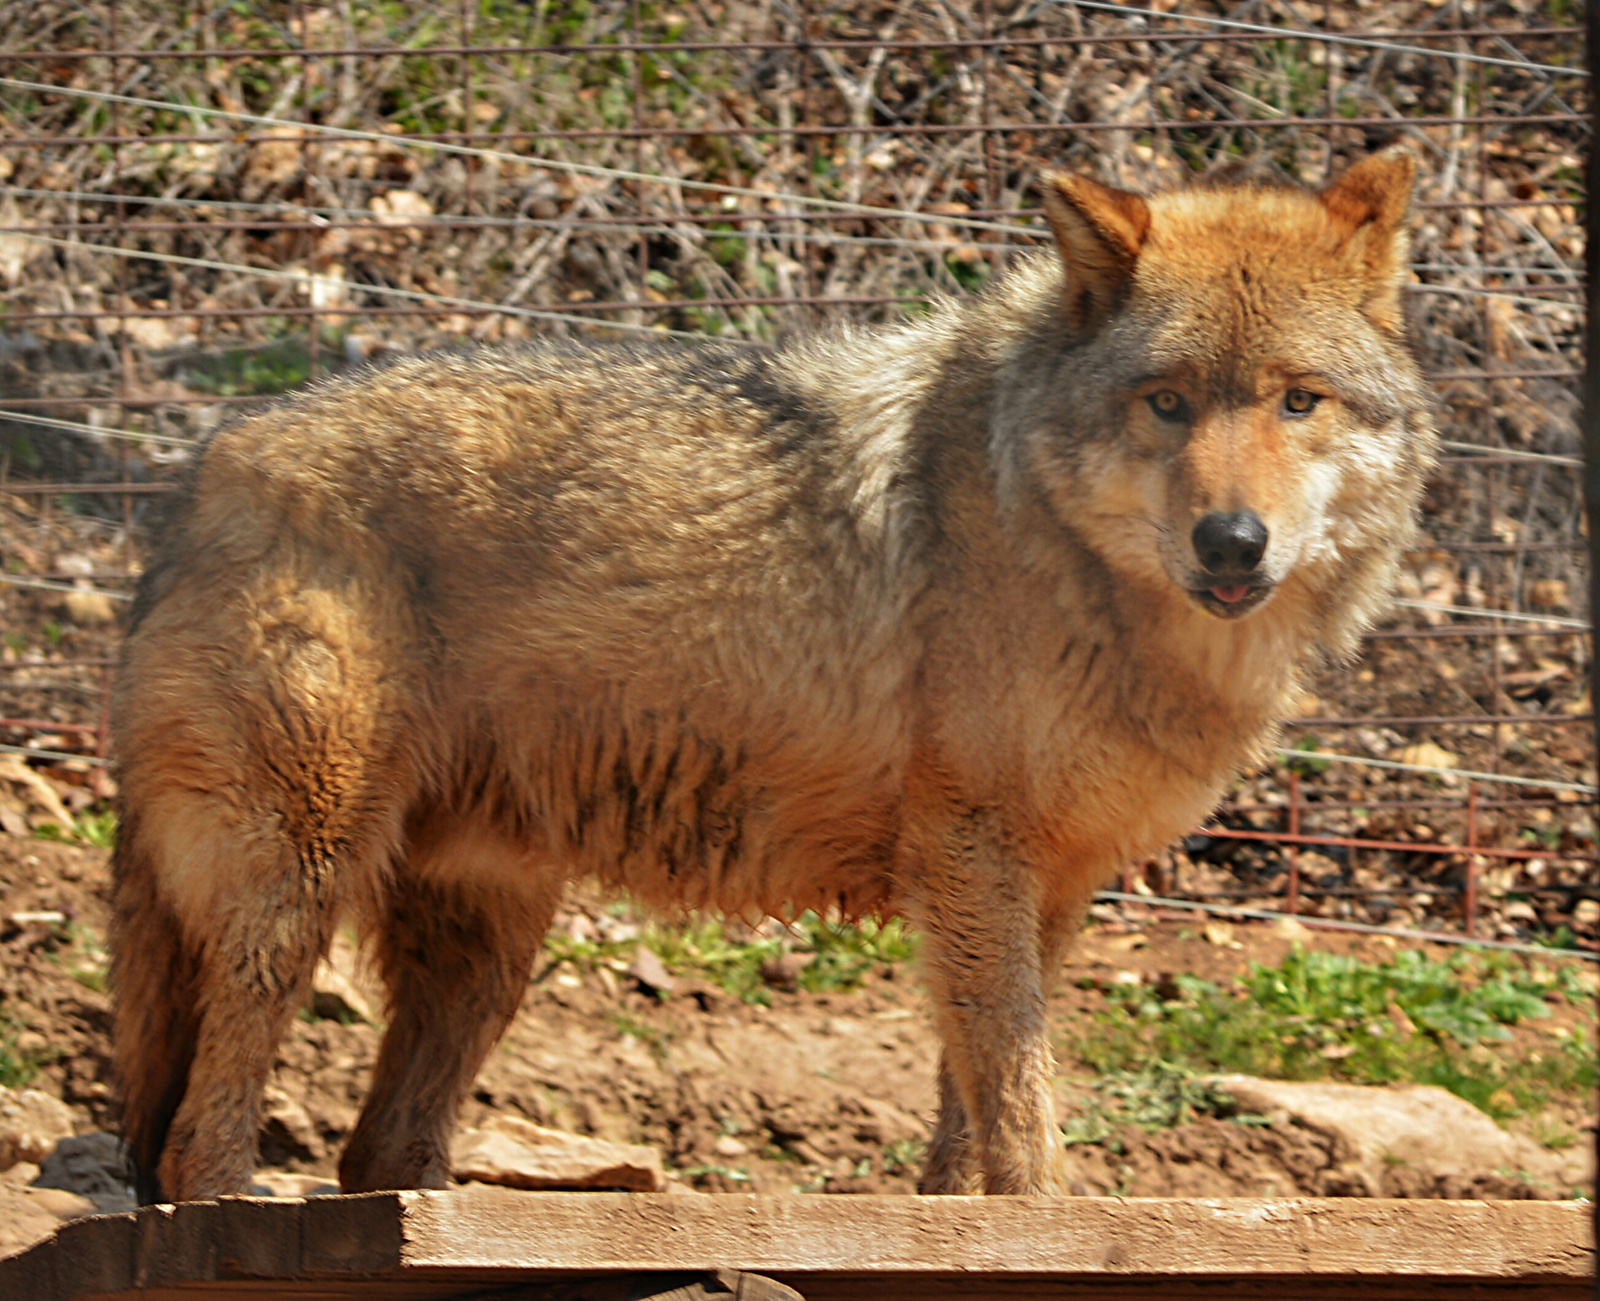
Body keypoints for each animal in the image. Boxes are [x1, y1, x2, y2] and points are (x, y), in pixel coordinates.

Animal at [112, 149, 1440, 1196]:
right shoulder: (970, 851)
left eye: (1298, 401)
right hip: (299, 881)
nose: (1232, 541)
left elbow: (969, 1106)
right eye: (1167, 402)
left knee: (374, 1151)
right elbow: (1017, 1104)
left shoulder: (1043, 886)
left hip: (484, 942)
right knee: (195, 1137)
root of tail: (210, 468)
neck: (1072, 565)